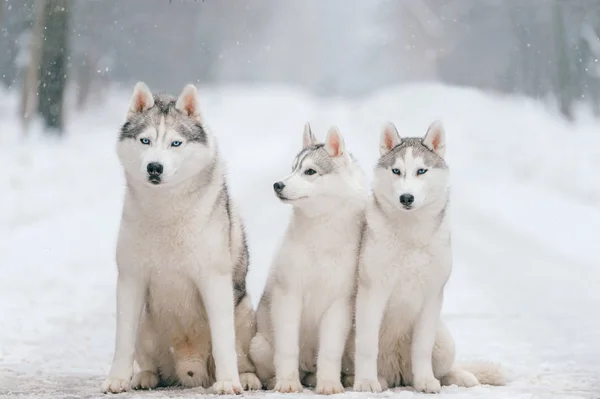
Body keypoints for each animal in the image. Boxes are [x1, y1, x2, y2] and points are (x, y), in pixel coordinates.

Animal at [101, 83, 260, 396]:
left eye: (176, 143)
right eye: (145, 140)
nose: (154, 167)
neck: (166, 212)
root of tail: (190, 372)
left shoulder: (214, 279)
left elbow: (224, 342)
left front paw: (228, 382)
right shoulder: (131, 279)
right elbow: (121, 341)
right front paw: (117, 380)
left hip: (245, 312)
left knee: (241, 353)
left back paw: (245, 377)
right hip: (145, 325)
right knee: (150, 364)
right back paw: (145, 377)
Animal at [247, 126, 366, 396]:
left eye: (309, 171)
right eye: (292, 168)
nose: (277, 184)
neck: (321, 235)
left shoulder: (339, 304)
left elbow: (330, 352)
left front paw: (329, 384)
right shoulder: (288, 296)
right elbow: (287, 348)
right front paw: (287, 383)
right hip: (258, 345)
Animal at [354, 121, 504, 394]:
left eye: (421, 171)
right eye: (396, 171)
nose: (406, 197)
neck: (410, 235)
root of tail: (398, 375)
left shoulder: (432, 297)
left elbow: (422, 348)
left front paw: (425, 381)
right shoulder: (372, 292)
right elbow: (368, 344)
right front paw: (366, 383)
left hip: (444, 340)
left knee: (444, 369)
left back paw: (460, 377)